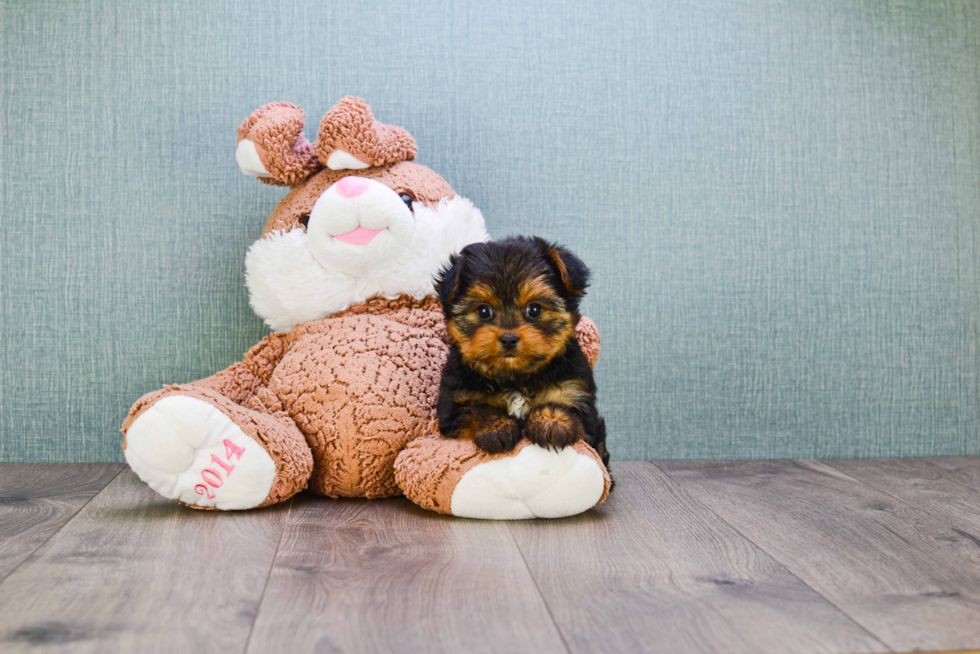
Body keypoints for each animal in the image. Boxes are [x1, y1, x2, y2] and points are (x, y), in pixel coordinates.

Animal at [434, 238, 608, 468]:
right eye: (483, 311)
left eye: (534, 310)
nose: (509, 338)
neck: (515, 377)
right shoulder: (455, 400)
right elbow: (476, 410)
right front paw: (496, 428)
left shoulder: (575, 389)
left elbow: (565, 404)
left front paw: (551, 422)